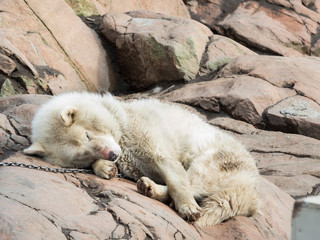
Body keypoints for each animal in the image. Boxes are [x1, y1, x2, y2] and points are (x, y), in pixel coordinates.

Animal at [25, 91, 260, 225]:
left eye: (87, 135)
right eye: (80, 156)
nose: (112, 154)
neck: (121, 117)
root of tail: (252, 190)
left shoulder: (146, 131)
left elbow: (169, 166)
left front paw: (189, 208)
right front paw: (106, 168)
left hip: (221, 156)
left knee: (198, 176)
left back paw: (153, 189)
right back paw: (148, 187)